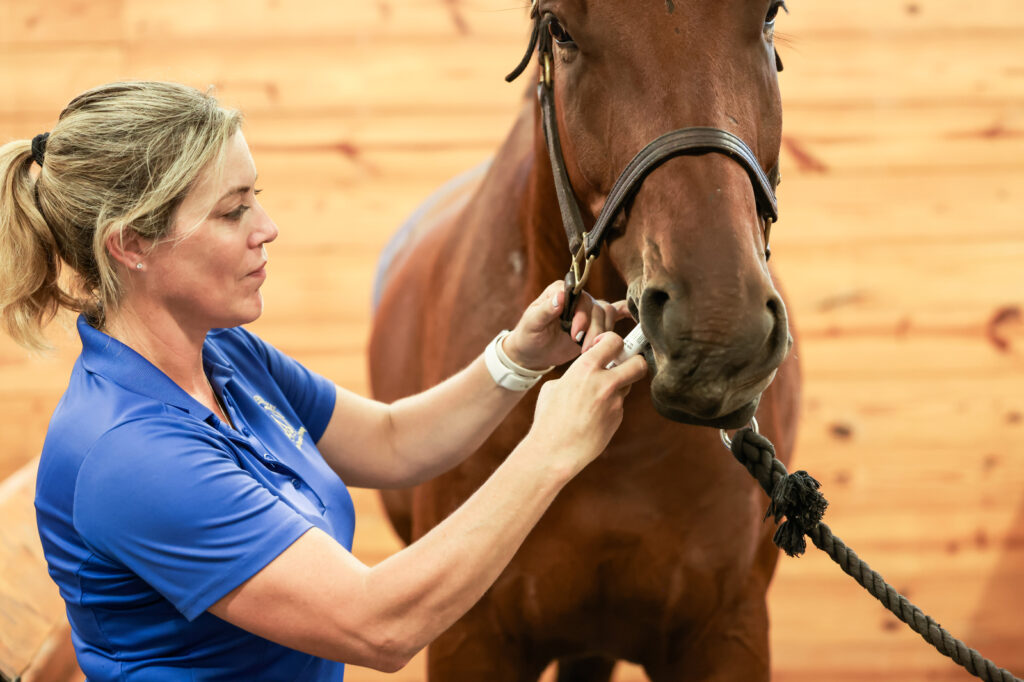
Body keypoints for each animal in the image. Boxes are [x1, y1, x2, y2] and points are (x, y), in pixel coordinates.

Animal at [369, 1, 800, 679]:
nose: (717, 335)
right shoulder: (471, 637)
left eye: (769, 15)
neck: (623, 456)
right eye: (561, 29)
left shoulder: (728, 632)